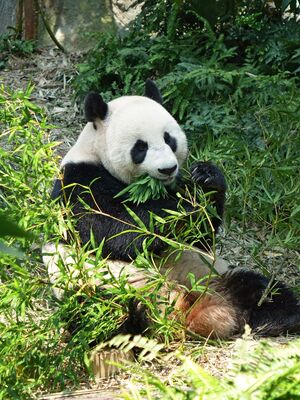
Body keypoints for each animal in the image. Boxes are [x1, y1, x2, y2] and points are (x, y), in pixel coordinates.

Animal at [43, 79, 300, 340]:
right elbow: (113, 227)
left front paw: (206, 179)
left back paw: (281, 317)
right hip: (103, 286)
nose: (167, 169)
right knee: (103, 311)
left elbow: (201, 237)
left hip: (212, 273)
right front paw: (184, 207)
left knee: (261, 289)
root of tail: (189, 311)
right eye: (140, 147)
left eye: (169, 139)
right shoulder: (79, 181)